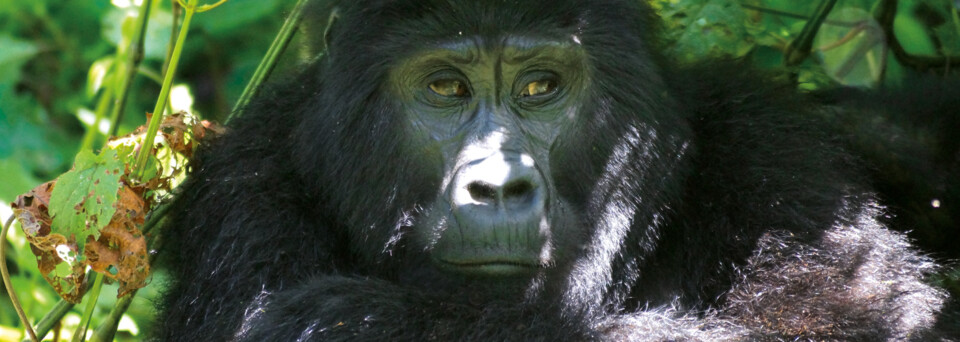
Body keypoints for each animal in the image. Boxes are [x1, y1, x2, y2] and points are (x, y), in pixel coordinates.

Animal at [156, 1, 952, 340]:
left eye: (540, 85)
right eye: (445, 87)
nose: (498, 187)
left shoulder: (780, 164)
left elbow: (830, 323)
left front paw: (355, 321)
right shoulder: (244, 193)